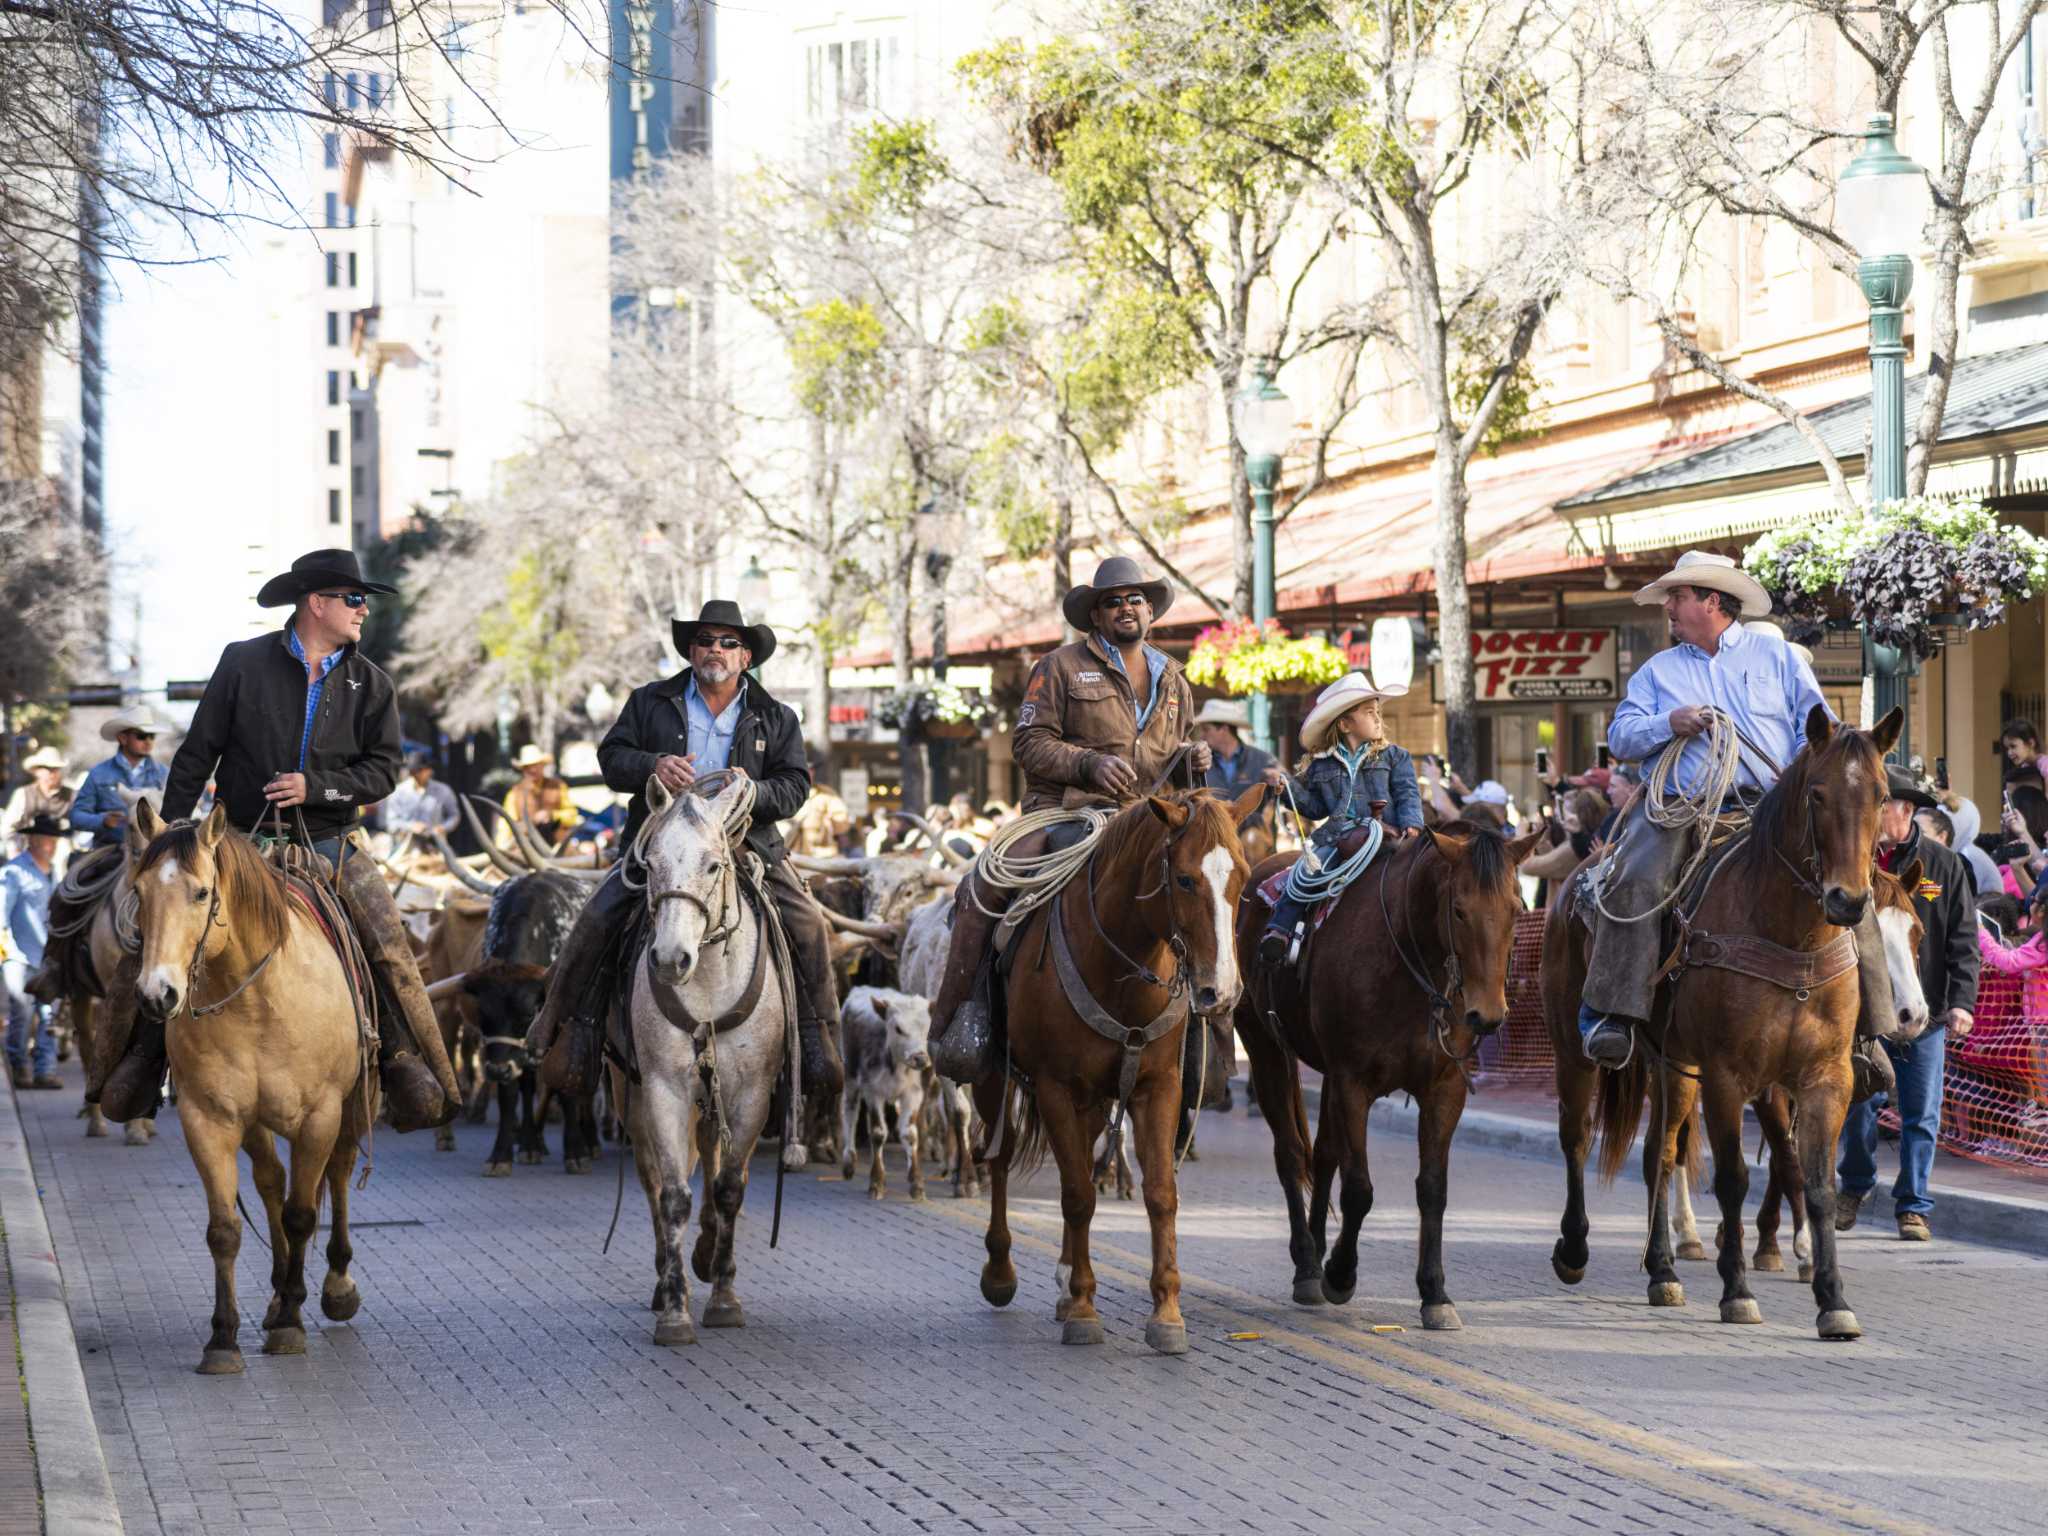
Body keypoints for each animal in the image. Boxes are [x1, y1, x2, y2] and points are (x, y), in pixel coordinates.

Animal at [130, 806, 378, 1384]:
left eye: (201, 893)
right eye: (139, 890)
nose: (158, 994)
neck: (258, 1000)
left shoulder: (320, 1115)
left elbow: (302, 1213)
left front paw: (290, 1323)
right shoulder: (209, 1120)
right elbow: (225, 1228)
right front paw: (224, 1338)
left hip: (353, 1104)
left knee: (335, 1174)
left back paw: (333, 1286)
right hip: (257, 1123)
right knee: (270, 1182)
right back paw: (278, 1292)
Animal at [966, 794, 1253, 1359]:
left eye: (1243, 877)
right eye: (1184, 879)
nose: (1222, 992)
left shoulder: (1157, 1088)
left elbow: (1159, 1193)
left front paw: (1166, 1313)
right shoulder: (1054, 1087)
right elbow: (1078, 1194)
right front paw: (1083, 1308)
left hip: (1095, 1101)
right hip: (996, 1080)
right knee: (1001, 1157)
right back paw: (1001, 1270)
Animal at [1220, 823, 1540, 1327]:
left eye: (1516, 907)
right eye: (1459, 909)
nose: (1487, 1015)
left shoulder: (1445, 1090)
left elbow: (1432, 1189)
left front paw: (1435, 1292)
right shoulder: (1354, 1083)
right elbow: (1359, 1189)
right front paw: (1340, 1274)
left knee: (1323, 1155)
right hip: (1266, 1048)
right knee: (1291, 1155)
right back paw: (1308, 1263)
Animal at [1540, 712, 1925, 1343]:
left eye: (1879, 794)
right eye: (1817, 794)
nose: (1847, 900)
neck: (1792, 938)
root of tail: (1582, 876)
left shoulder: (1825, 1079)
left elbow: (1814, 1182)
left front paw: (1831, 1297)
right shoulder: (1729, 1077)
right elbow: (1734, 1179)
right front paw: (1738, 1290)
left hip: (1671, 1065)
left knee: (1659, 1153)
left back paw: (1662, 1270)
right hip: (1573, 1047)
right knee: (1575, 1136)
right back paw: (1574, 1250)